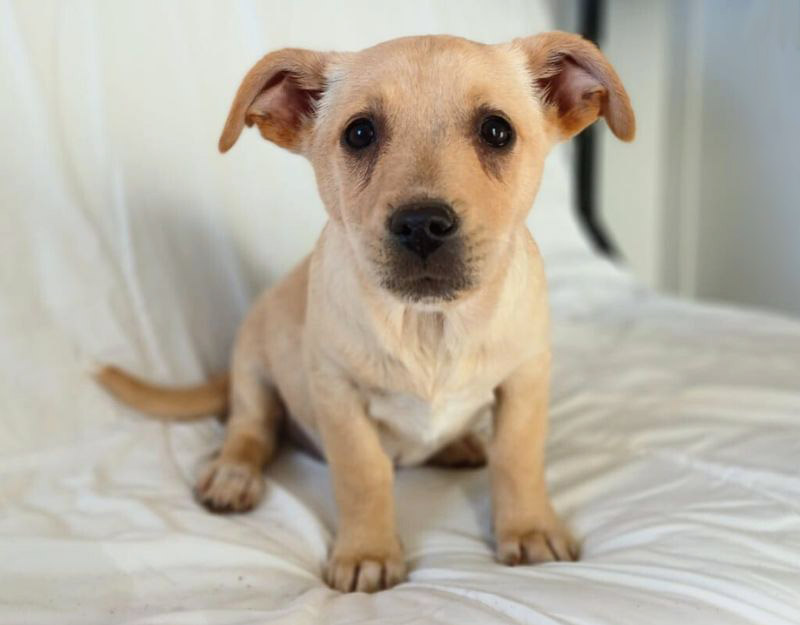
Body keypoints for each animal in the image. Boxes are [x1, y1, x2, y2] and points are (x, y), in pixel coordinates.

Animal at [97, 31, 634, 593]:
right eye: (359, 133)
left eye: (496, 130)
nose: (422, 224)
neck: (429, 326)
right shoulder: (337, 391)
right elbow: (363, 474)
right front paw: (367, 553)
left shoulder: (526, 377)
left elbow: (517, 457)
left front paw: (529, 528)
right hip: (253, 368)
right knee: (249, 430)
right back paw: (232, 474)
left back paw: (458, 443)